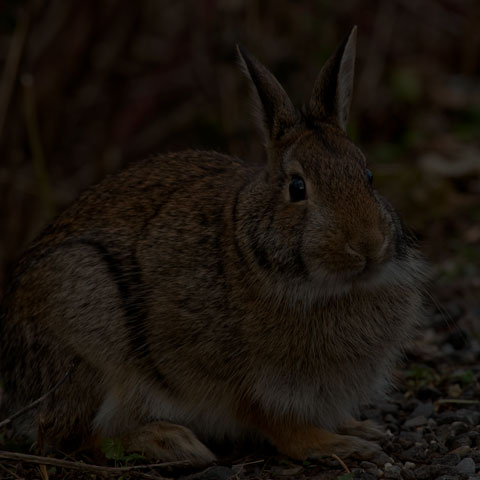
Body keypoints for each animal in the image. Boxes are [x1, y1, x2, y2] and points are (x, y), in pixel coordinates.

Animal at [0, 27, 428, 464]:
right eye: (297, 187)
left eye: (369, 176)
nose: (368, 245)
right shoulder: (248, 383)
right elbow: (280, 425)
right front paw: (335, 444)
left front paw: (358, 428)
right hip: (88, 325)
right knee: (70, 438)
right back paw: (170, 441)